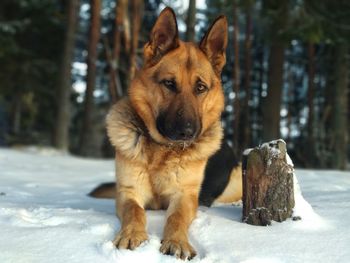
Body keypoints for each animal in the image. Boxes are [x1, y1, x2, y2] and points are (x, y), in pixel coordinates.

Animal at [90, 7, 242, 260]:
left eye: (200, 87)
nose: (187, 132)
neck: (162, 151)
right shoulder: (128, 192)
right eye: (169, 84)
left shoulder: (185, 195)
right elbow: (135, 211)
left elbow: (177, 217)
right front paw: (131, 234)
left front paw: (177, 241)